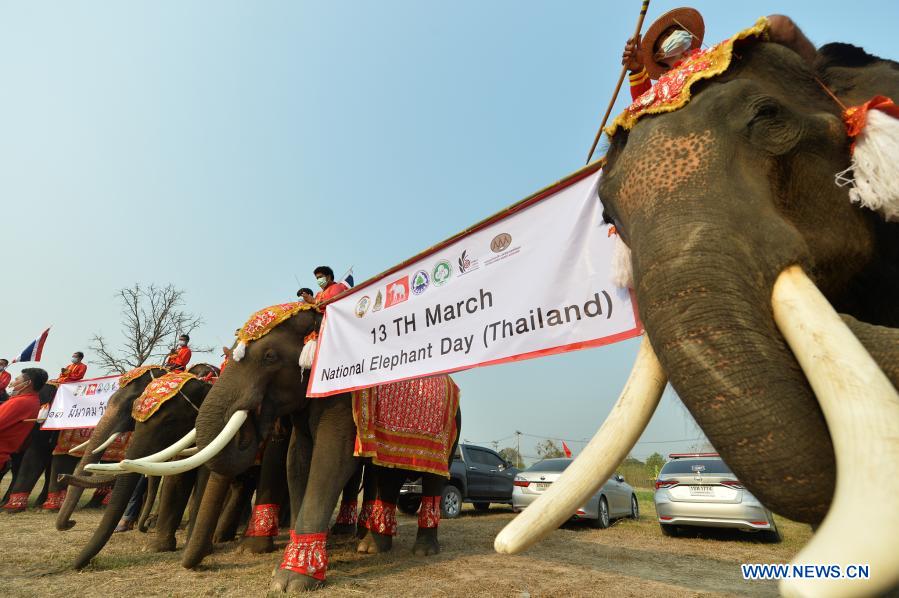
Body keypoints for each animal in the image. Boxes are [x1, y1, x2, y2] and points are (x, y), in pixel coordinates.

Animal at [137, 304, 464, 596]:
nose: (196, 564)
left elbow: (331, 461)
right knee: (386, 473)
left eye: (269, 357)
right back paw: (371, 548)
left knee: (433, 477)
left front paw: (292, 579)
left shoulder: (342, 395)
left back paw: (422, 550)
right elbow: (297, 461)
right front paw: (299, 560)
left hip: (451, 429)